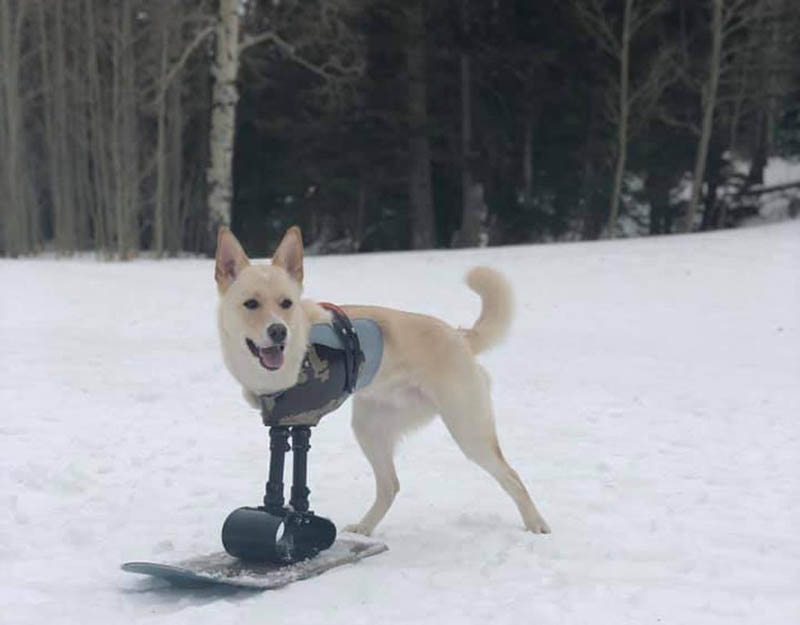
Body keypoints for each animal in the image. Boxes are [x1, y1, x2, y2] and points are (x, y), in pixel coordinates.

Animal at [212, 227, 552, 532]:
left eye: (286, 303)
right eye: (251, 304)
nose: (279, 331)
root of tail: (459, 336)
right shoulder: (281, 418)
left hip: (469, 430)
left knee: (512, 476)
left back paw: (536, 524)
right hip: (370, 428)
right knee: (391, 485)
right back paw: (364, 529)